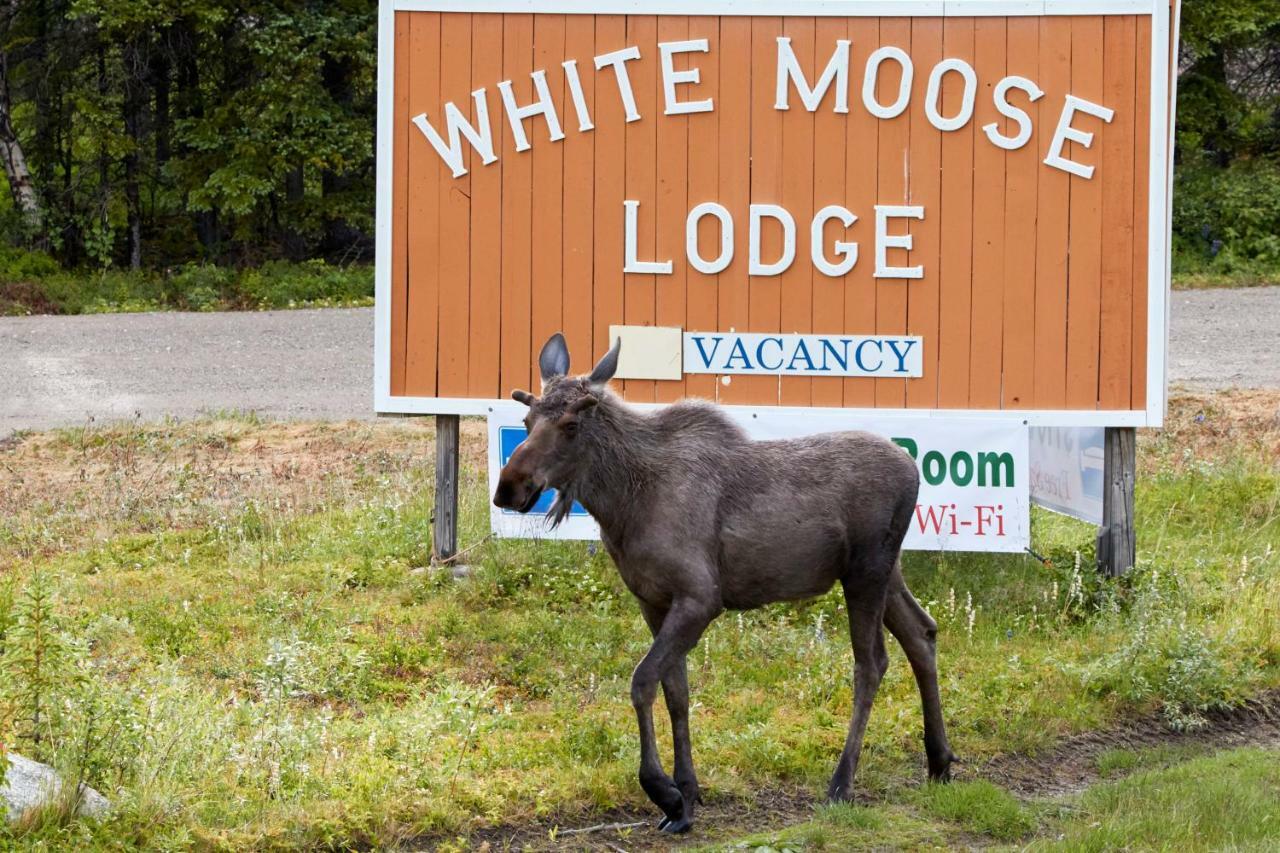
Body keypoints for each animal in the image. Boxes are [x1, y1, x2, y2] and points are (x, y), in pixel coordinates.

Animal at [494, 333, 957, 829]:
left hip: (866, 572)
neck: (623, 504)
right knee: (922, 632)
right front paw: (687, 794)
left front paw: (663, 790)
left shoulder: (701, 597)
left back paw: (842, 782)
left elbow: (642, 681)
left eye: (571, 425)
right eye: (526, 420)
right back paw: (939, 759)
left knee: (871, 664)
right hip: (884, 572)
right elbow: (676, 691)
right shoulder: (654, 601)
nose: (508, 488)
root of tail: (913, 469)